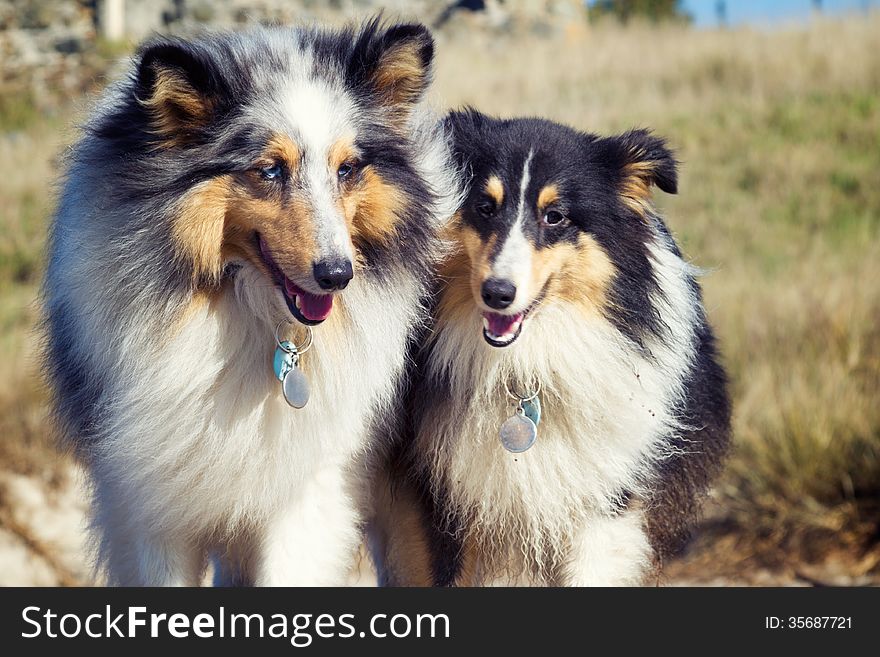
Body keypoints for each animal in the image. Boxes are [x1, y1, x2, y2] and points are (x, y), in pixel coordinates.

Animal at [41, 19, 460, 584]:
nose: (338, 275)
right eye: (270, 170)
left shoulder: (309, 490)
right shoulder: (150, 502)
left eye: (348, 169)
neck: (247, 312)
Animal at [372, 109, 736, 584]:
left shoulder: (607, 496)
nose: (497, 294)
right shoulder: (441, 494)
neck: (526, 365)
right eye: (484, 207)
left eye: (556, 216)